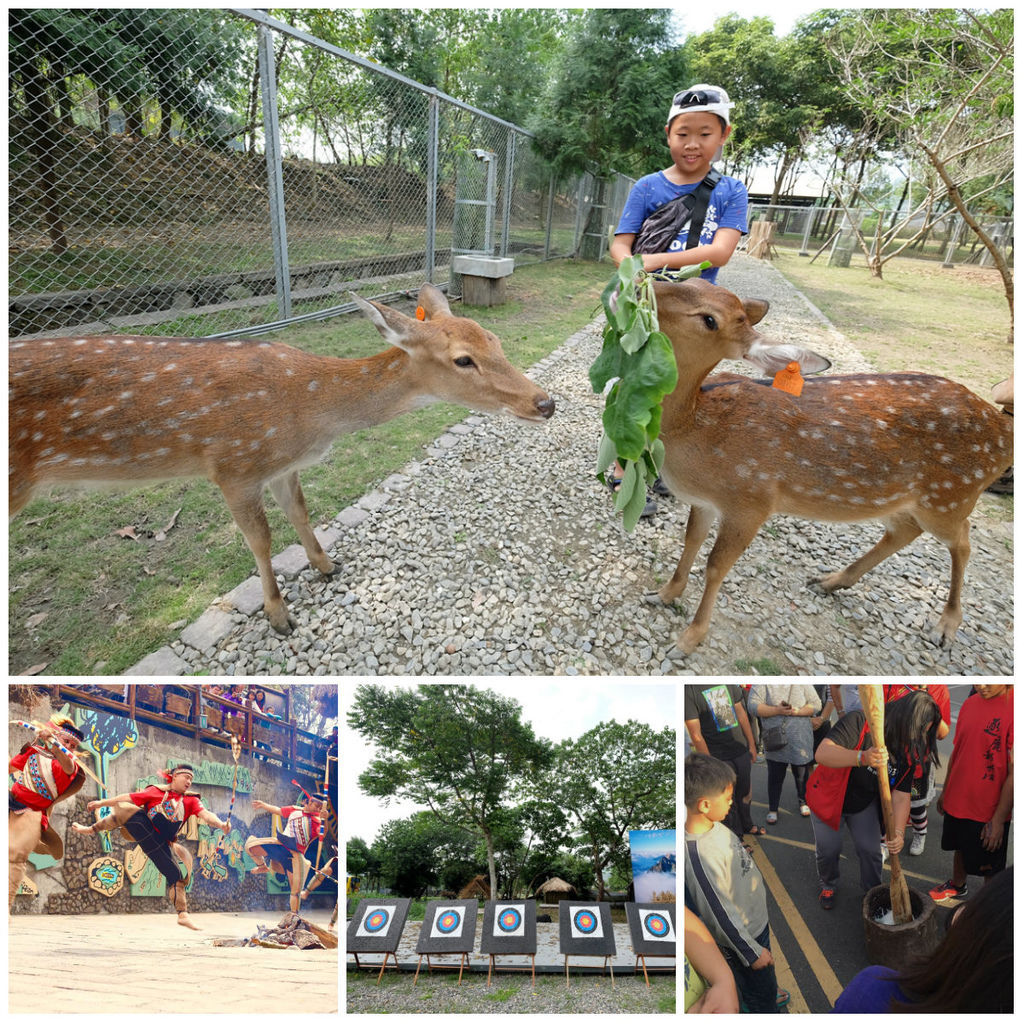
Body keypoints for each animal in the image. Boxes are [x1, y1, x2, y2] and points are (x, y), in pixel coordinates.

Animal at [9, 282, 552, 630]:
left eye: (495, 339)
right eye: (463, 359)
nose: (545, 402)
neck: (310, 416)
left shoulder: (280, 465)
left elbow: (300, 512)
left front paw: (326, 565)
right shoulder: (233, 465)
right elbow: (261, 539)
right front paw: (278, 615)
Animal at [643, 276, 1011, 655]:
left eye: (710, 320)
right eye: (690, 281)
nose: (649, 283)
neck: (697, 427)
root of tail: (1005, 430)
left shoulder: (753, 499)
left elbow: (716, 566)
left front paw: (688, 640)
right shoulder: (705, 502)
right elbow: (691, 540)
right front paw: (664, 594)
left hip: (951, 497)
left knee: (963, 541)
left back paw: (945, 626)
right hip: (909, 500)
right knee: (903, 531)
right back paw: (830, 581)